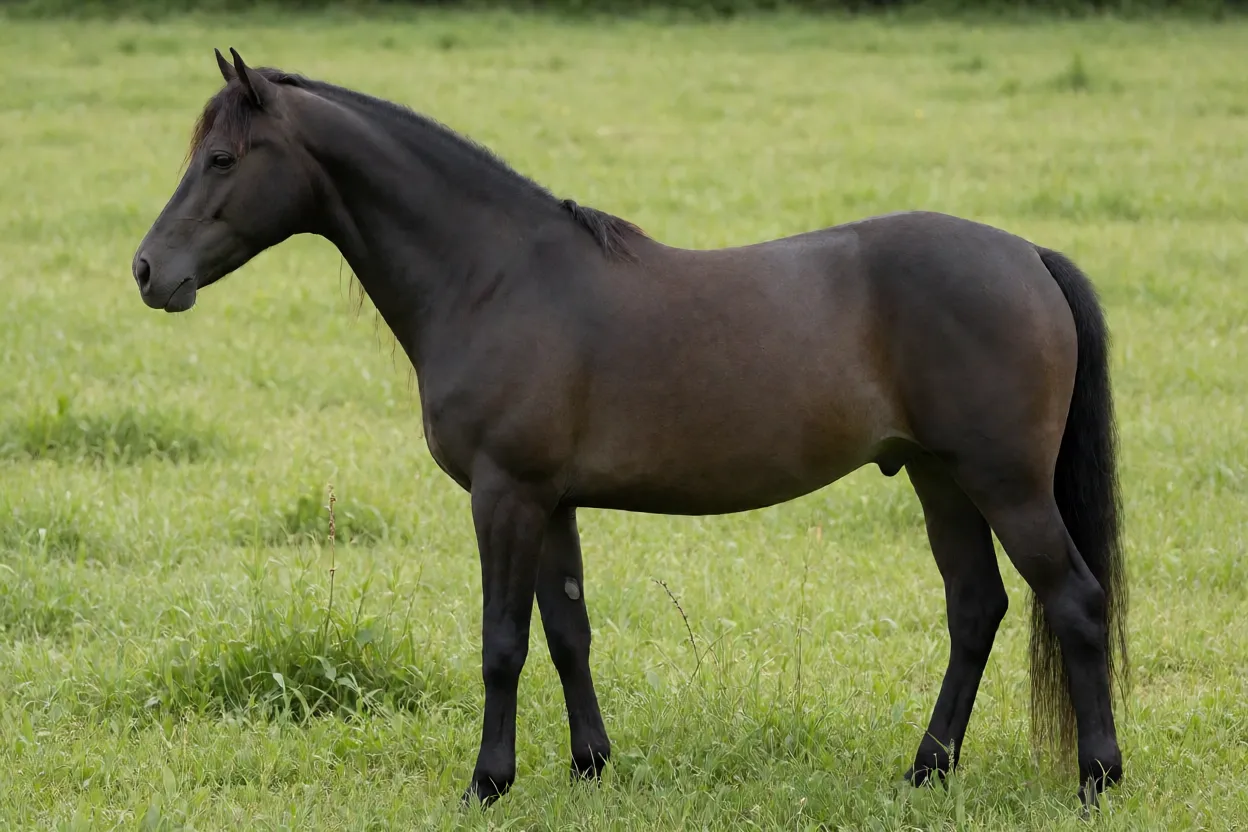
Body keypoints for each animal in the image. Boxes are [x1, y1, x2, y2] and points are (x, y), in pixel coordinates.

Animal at [131, 49, 1128, 810]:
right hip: (938, 478)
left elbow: (503, 643)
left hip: (1003, 483)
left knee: (1074, 602)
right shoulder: (553, 503)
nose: (148, 271)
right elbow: (569, 633)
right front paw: (589, 766)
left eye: (223, 159)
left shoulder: (505, 497)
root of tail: (1026, 256)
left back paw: (1096, 779)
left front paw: (488, 782)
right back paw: (926, 771)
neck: (494, 277)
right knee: (977, 609)